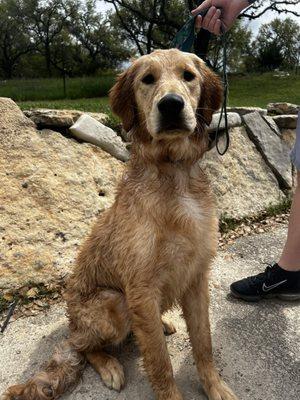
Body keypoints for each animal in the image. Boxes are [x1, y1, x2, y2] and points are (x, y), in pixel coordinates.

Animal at [1, 49, 237, 400]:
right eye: (148, 79)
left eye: (188, 75)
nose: (171, 105)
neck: (173, 174)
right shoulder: (140, 288)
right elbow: (160, 362)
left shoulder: (196, 277)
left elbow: (204, 343)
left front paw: (215, 386)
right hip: (114, 303)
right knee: (81, 346)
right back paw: (109, 364)